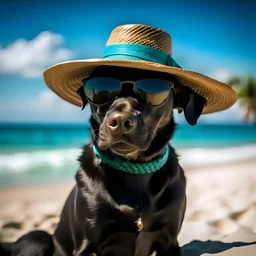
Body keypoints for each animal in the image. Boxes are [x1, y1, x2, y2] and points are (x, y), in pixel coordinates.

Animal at [0, 65, 204, 254]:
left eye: (154, 90)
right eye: (100, 89)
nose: (120, 121)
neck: (134, 170)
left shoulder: (169, 240)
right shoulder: (87, 244)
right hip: (39, 239)